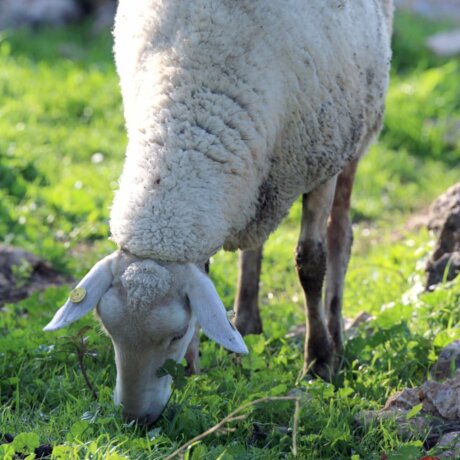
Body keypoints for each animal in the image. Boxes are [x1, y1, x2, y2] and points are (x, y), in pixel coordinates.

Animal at [45, 0, 394, 424]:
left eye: (175, 335)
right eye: (109, 333)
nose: (135, 418)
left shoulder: (323, 157)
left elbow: (310, 263)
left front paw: (319, 363)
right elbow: (205, 271)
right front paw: (194, 368)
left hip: (356, 132)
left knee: (340, 235)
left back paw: (335, 335)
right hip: (265, 172)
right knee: (254, 241)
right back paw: (246, 321)